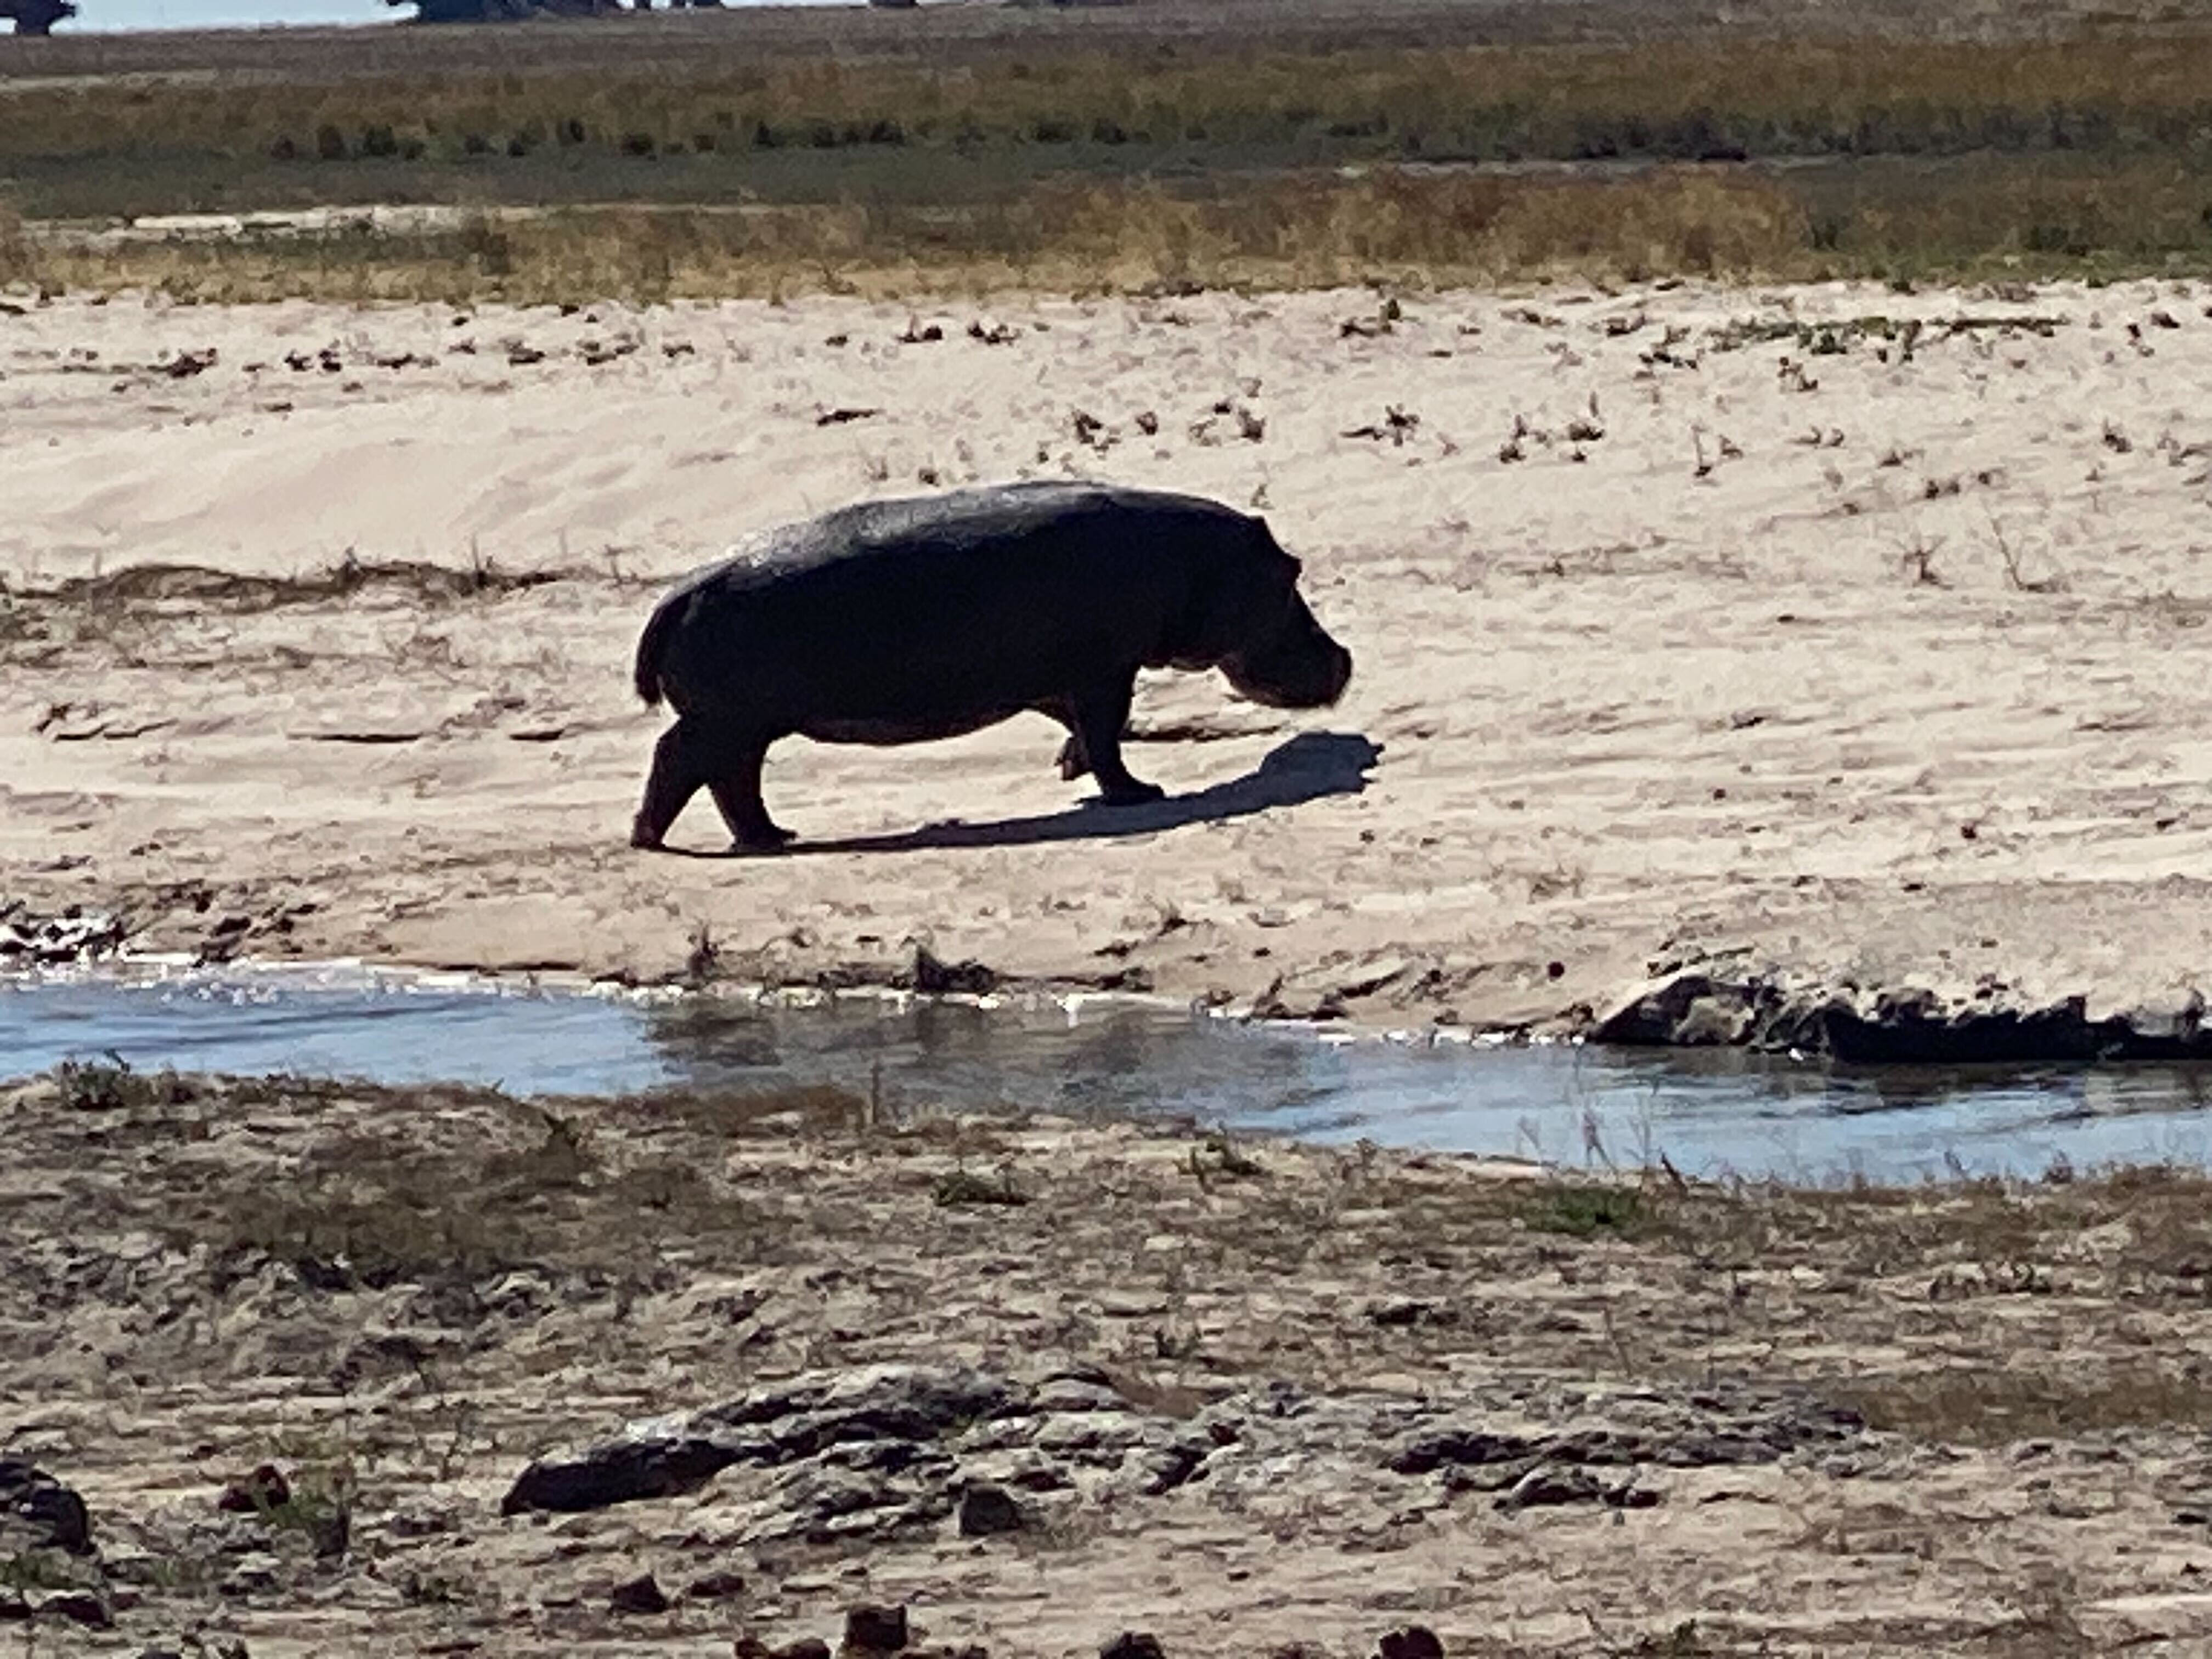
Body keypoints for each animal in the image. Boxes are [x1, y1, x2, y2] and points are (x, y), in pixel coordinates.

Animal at [628, 481, 1354, 852]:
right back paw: (669, 841)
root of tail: (680, 590)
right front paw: (1140, 793)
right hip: (730, 721)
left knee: (727, 779)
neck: (1200, 559)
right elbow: (1108, 729)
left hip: (744, 724)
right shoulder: (1105, 670)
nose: (1345, 657)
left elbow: (1085, 728)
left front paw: (1071, 770)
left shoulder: (1064, 677)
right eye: (1291, 572)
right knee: (684, 762)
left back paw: (772, 837)